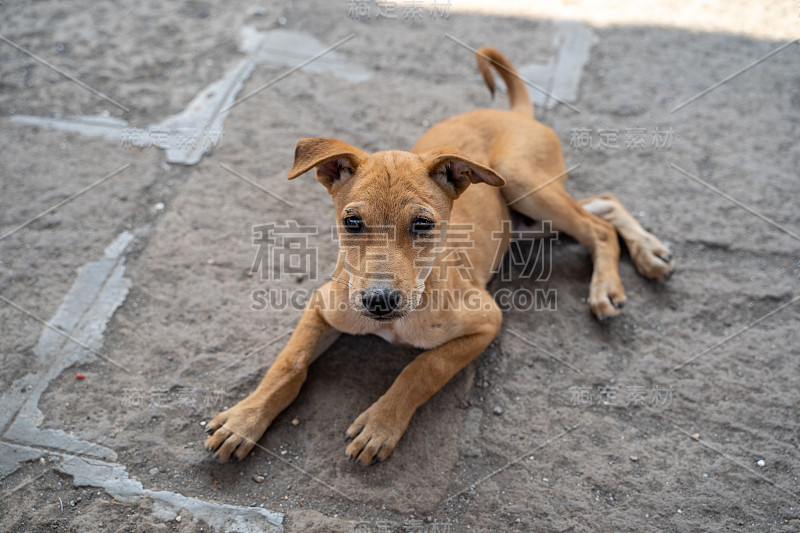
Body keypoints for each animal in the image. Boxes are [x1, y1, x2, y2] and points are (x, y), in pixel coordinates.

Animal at [203, 46, 672, 462]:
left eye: (423, 225)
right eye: (351, 222)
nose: (378, 301)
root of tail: (516, 113)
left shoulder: (487, 321)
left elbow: (422, 368)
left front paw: (381, 424)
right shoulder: (321, 305)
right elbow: (289, 363)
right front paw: (244, 420)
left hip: (523, 183)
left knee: (597, 227)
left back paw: (608, 286)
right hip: (523, 216)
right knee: (604, 205)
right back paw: (649, 252)